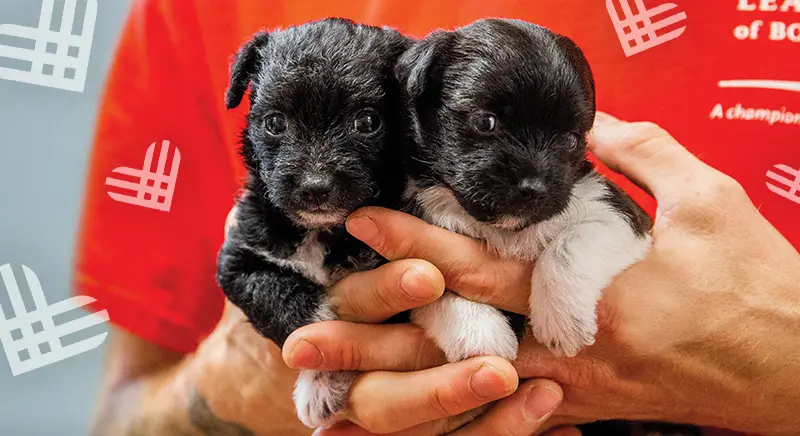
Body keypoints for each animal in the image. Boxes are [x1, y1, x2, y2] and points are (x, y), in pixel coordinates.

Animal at [216, 17, 410, 430]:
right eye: (275, 122)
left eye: (367, 121)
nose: (314, 187)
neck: (321, 231)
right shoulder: (238, 260)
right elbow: (276, 297)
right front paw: (321, 366)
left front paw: (321, 385)